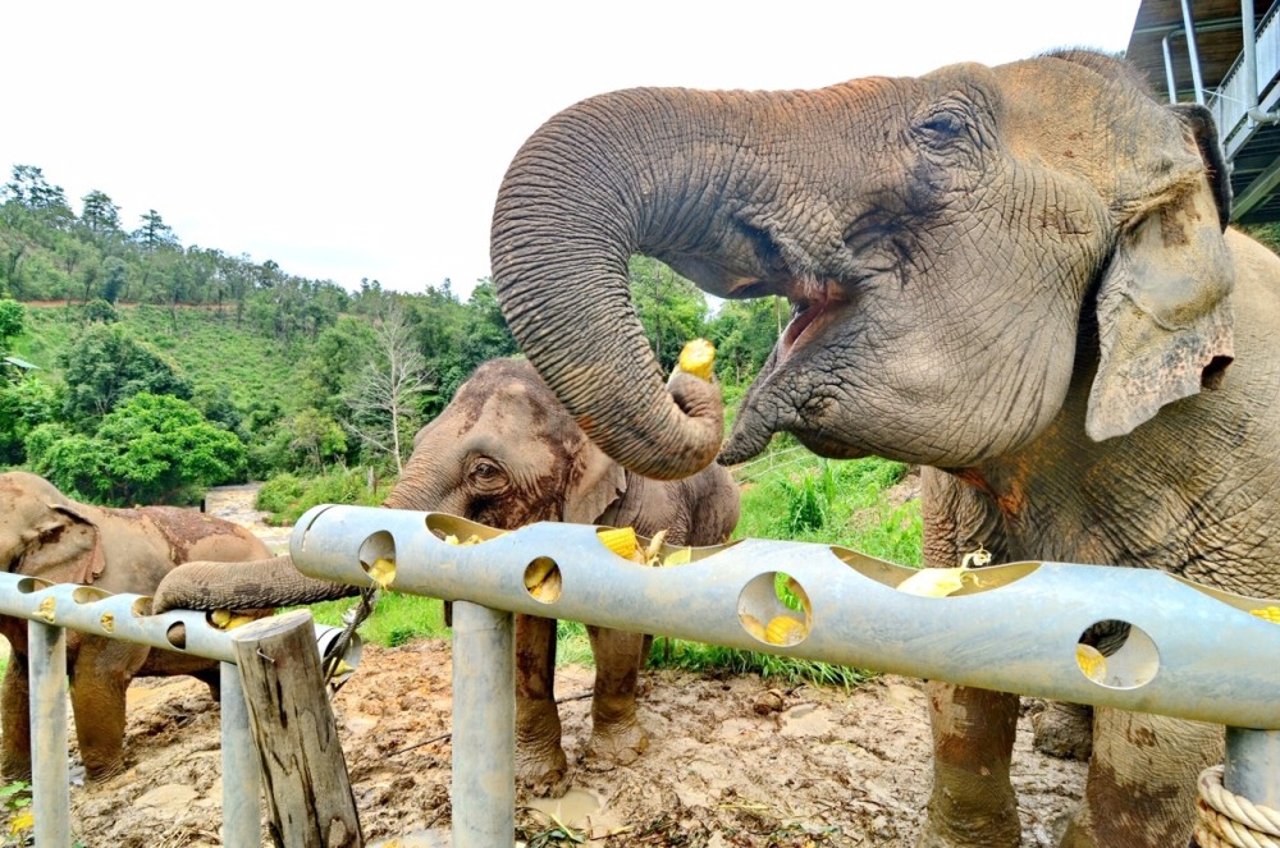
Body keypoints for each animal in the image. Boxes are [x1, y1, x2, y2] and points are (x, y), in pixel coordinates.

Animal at [154, 358, 742, 799]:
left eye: (485, 470)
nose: (160, 601)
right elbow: (526, 635)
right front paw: (537, 782)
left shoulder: (640, 516)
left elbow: (612, 628)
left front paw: (616, 760)